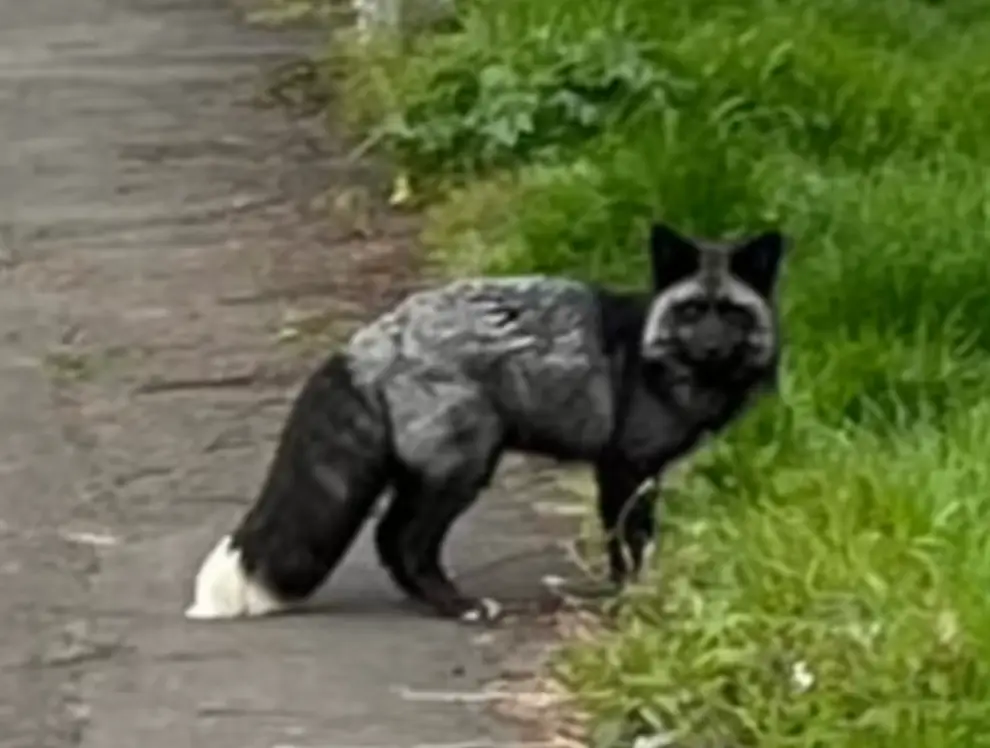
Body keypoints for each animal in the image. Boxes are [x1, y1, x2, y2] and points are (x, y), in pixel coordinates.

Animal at [184, 222, 788, 624]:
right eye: (692, 312)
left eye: (731, 314)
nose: (712, 348)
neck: (656, 358)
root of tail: (371, 340)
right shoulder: (624, 466)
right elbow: (628, 544)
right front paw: (634, 600)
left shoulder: (640, 473)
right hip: (466, 463)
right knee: (399, 538)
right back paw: (458, 606)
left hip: (431, 468)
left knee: (391, 539)